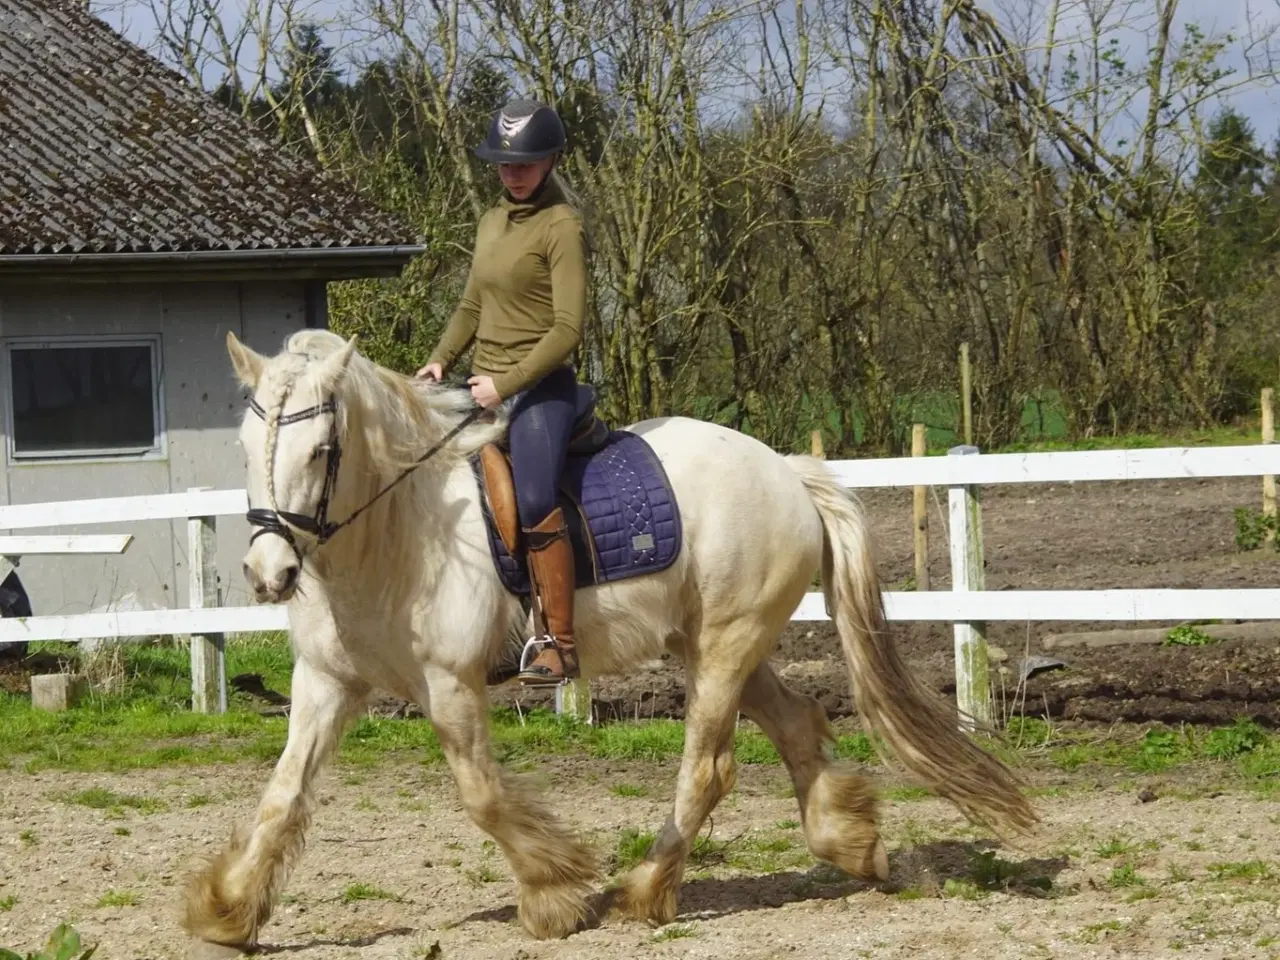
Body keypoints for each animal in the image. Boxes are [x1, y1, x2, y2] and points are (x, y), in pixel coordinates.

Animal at [183, 330, 1039, 957]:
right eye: (246, 444)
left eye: (323, 451)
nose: (268, 572)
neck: (399, 532)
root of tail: (788, 470)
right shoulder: (326, 681)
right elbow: (283, 795)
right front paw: (228, 910)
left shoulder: (450, 684)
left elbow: (480, 795)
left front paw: (555, 894)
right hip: (714, 643)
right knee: (796, 725)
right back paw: (852, 844)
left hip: (724, 647)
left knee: (708, 768)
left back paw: (646, 889)